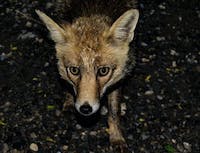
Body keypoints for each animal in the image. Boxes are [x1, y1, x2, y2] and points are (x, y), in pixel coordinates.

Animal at [35, 0, 139, 152]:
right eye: (74, 70)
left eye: (103, 71)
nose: (85, 108)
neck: (94, 11)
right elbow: (67, 84)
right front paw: (69, 100)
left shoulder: (118, 79)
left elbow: (114, 113)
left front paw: (117, 137)